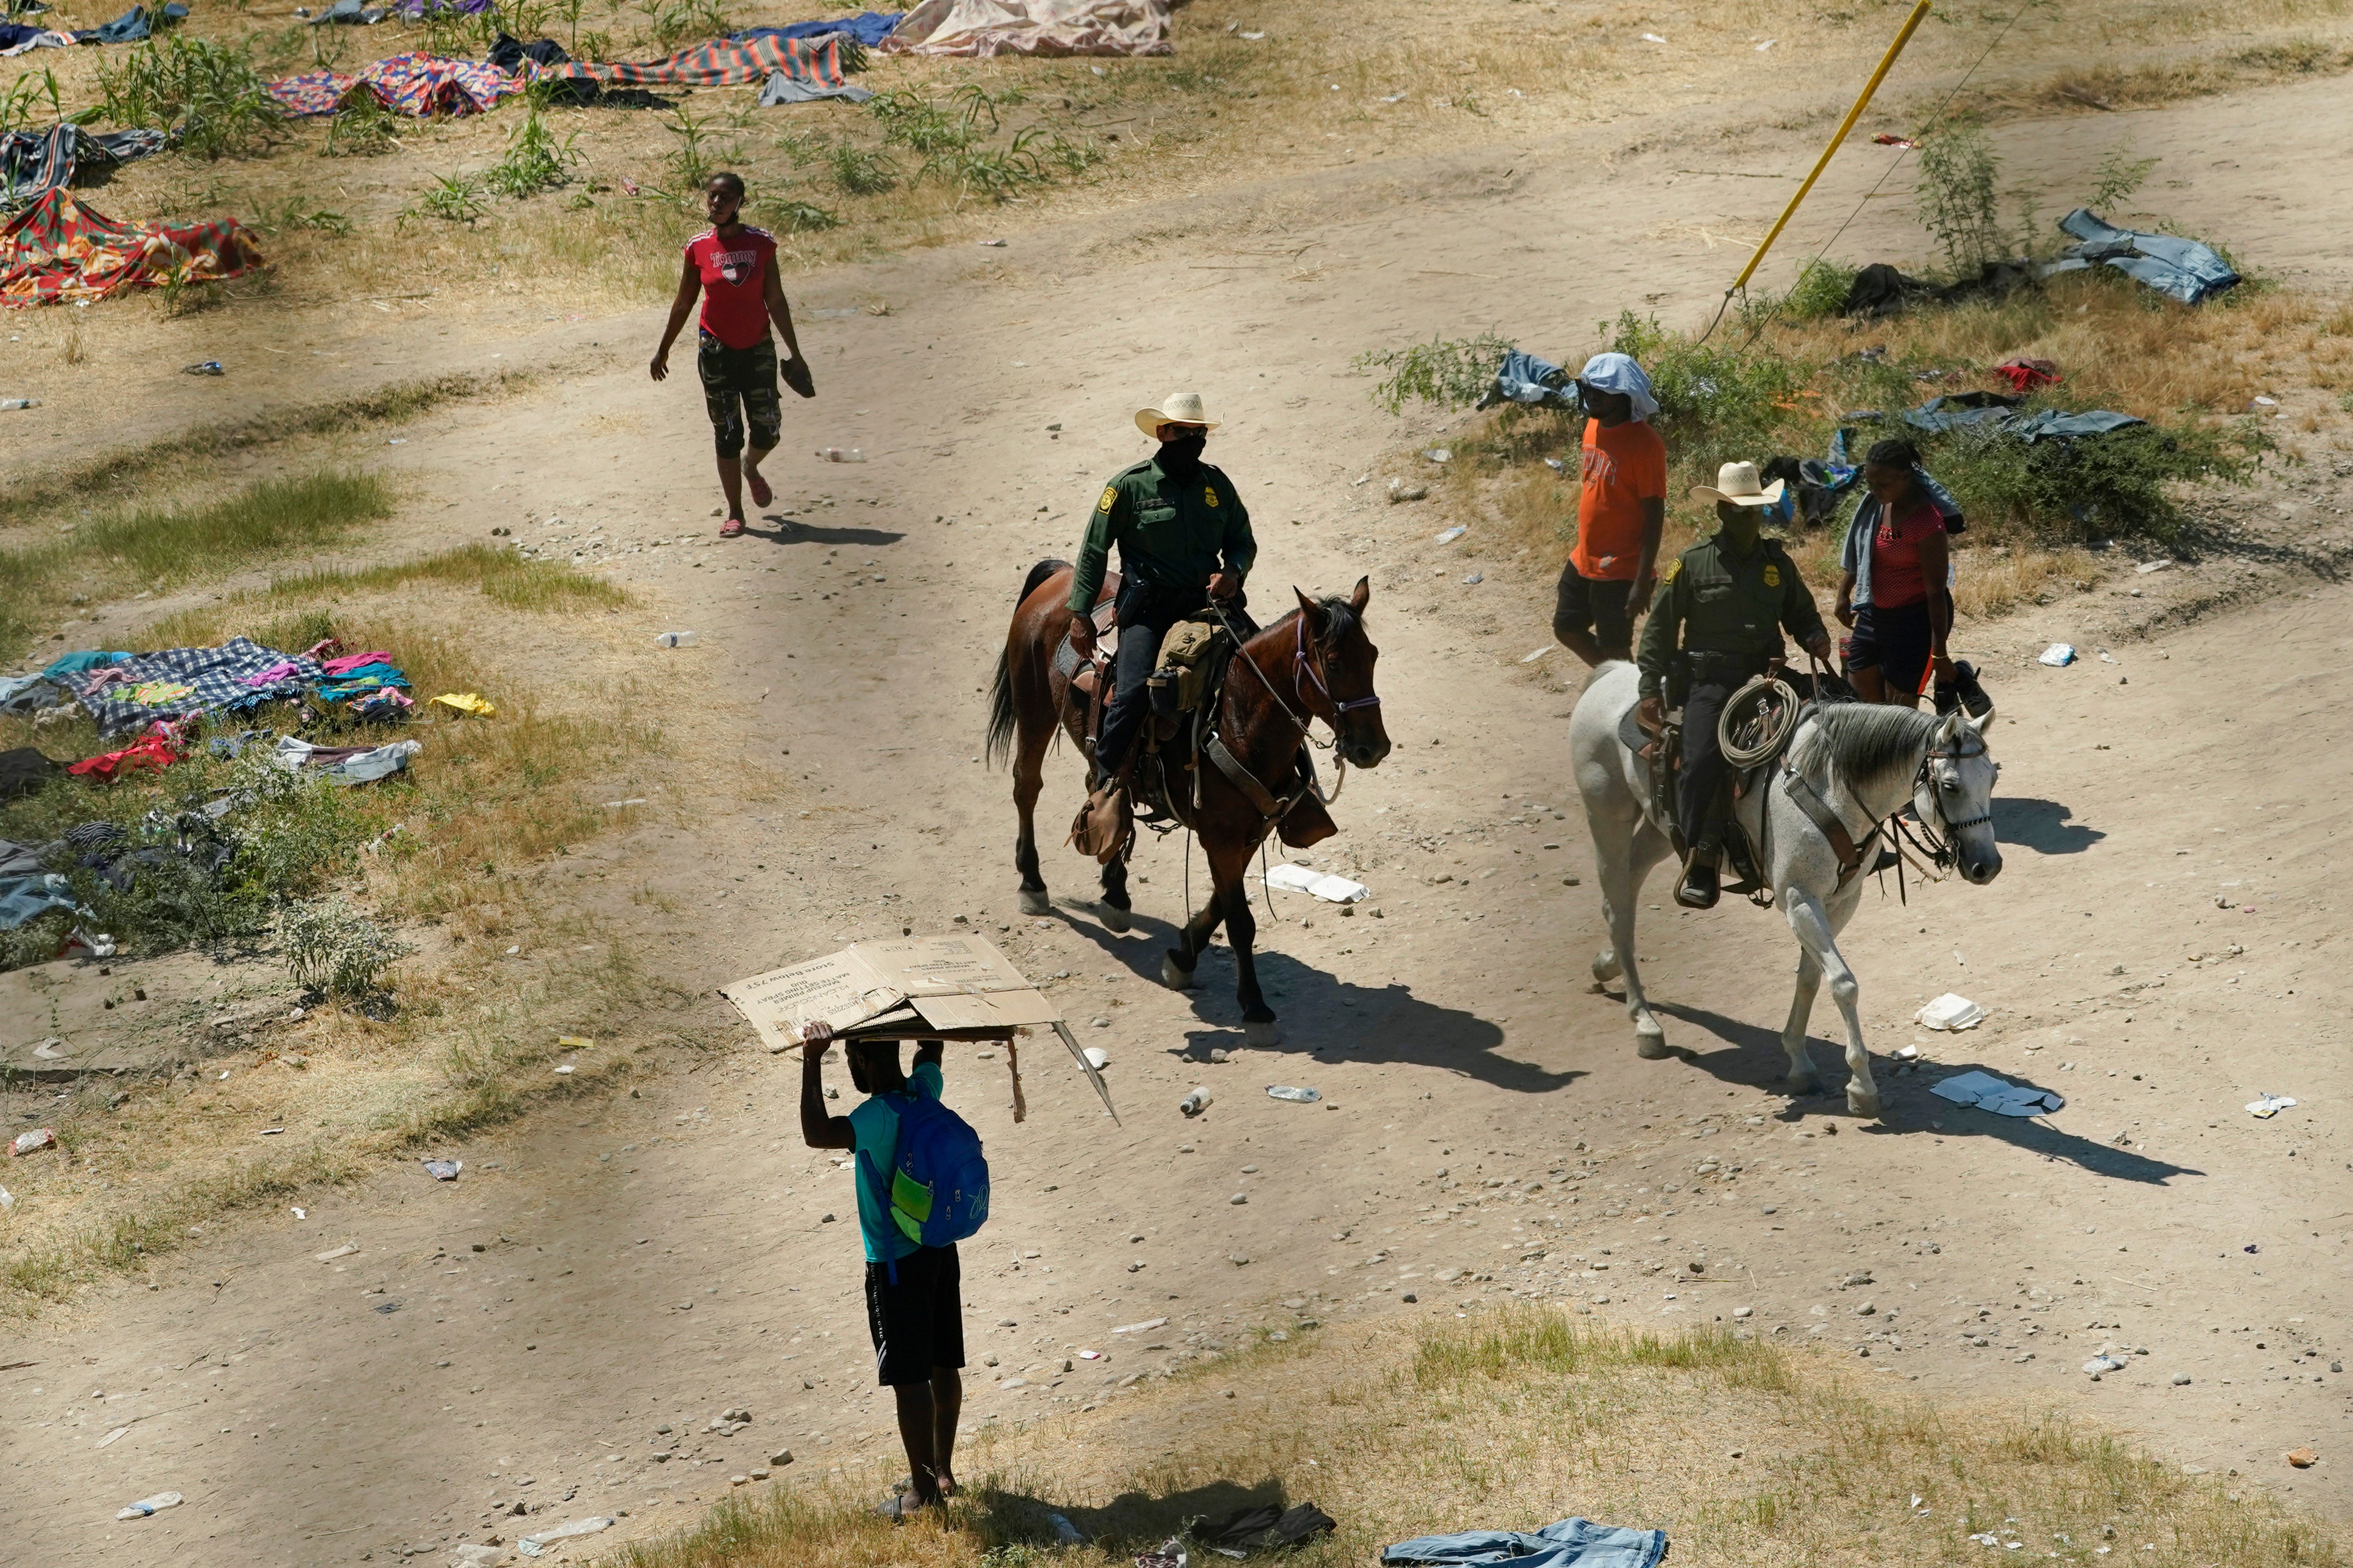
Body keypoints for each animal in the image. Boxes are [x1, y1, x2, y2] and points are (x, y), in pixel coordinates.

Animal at [983, 561, 1384, 1043]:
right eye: (1335, 663)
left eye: (1373, 655)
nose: (1373, 747)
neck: (1236, 714)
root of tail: (1062, 574)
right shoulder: (1222, 838)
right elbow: (1240, 920)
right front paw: (1255, 1007)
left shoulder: (1248, 833)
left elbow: (1222, 905)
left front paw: (1183, 956)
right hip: (1035, 709)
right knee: (1027, 785)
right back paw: (1033, 883)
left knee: (1102, 790)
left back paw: (1115, 892)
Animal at [1572, 663, 1995, 1114]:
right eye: (1950, 786)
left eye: (1993, 778)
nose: (1987, 865)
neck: (1830, 784)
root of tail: (1614, 671)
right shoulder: (1798, 898)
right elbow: (1843, 983)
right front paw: (1862, 1085)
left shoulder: (1841, 901)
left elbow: (1810, 977)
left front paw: (1799, 1061)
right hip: (1607, 816)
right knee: (1617, 903)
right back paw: (1644, 1021)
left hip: (1661, 830)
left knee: (1628, 889)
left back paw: (1608, 965)